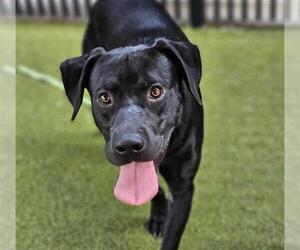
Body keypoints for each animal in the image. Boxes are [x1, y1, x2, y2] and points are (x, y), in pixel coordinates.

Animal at [59, 0, 203, 249]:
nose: (128, 146)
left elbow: (172, 235)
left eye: (156, 91)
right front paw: (159, 216)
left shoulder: (184, 186)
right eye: (104, 97)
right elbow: (153, 190)